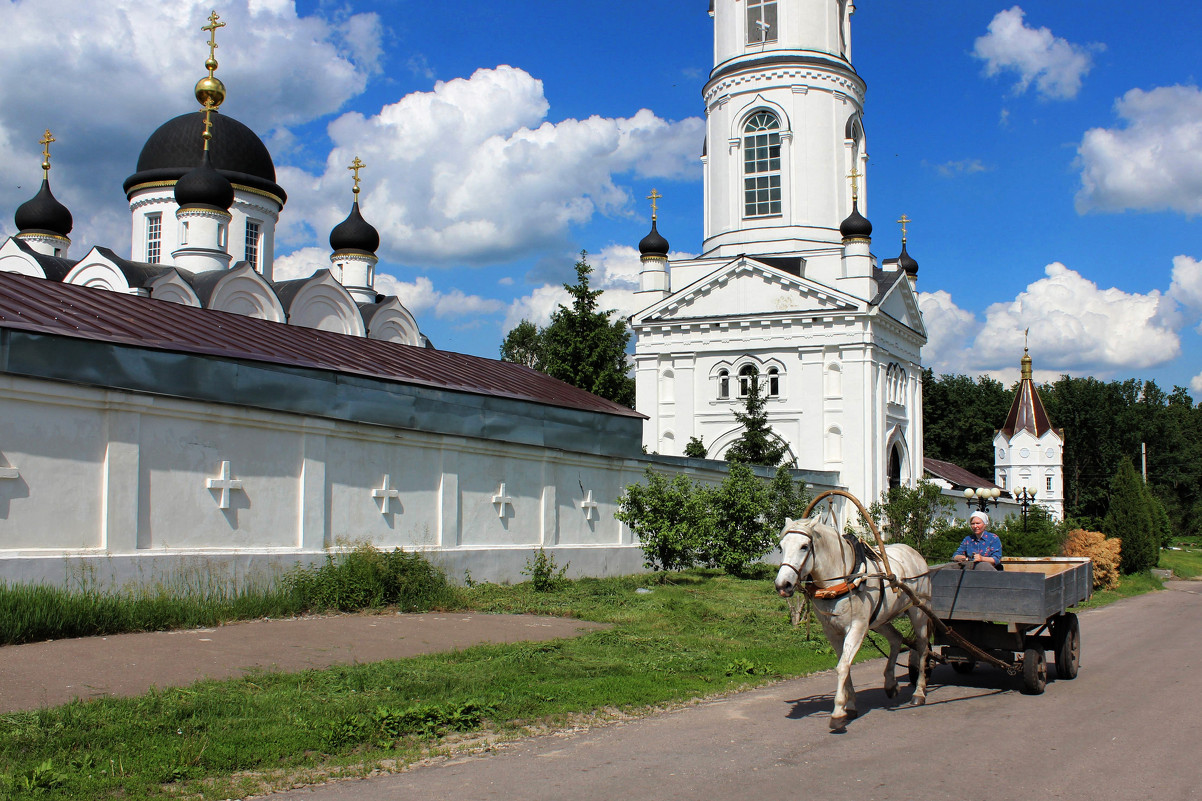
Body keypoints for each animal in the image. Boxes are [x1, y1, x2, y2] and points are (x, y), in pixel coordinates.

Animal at [774, 514, 932, 726]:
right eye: (781, 546)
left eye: (804, 546)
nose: (783, 585)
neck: (840, 580)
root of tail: (914, 553)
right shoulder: (832, 632)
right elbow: (845, 665)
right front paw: (849, 705)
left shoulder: (857, 628)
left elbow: (842, 666)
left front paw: (838, 712)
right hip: (879, 620)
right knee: (896, 638)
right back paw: (890, 684)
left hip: (918, 611)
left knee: (922, 647)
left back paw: (919, 692)